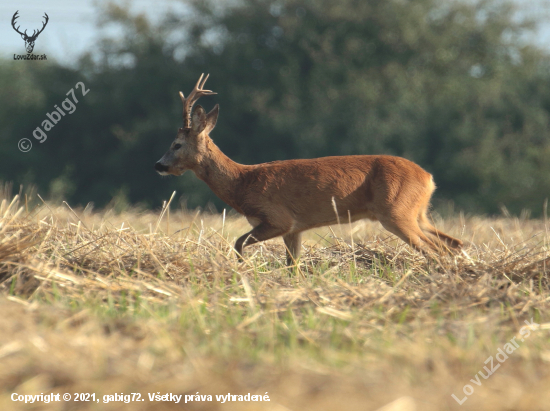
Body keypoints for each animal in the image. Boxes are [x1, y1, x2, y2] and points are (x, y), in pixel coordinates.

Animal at [157, 74, 464, 268]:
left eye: (176, 144)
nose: (158, 164)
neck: (241, 182)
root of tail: (428, 178)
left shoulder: (278, 218)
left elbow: (239, 243)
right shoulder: (295, 228)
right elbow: (292, 266)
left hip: (395, 212)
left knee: (435, 250)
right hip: (417, 212)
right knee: (453, 243)